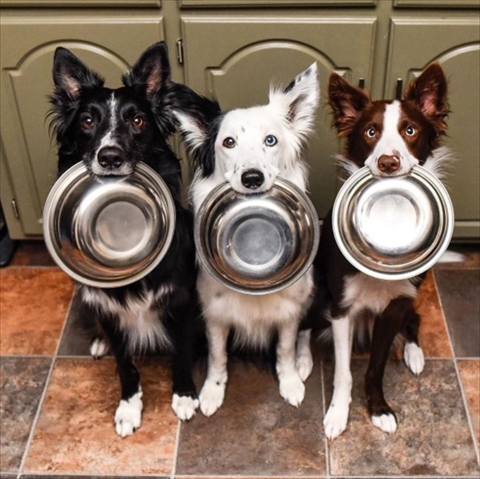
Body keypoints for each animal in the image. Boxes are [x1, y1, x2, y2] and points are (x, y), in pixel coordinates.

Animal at [49, 43, 212, 436]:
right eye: (87, 121)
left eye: (137, 121)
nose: (110, 157)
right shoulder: (110, 311)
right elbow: (124, 362)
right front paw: (128, 406)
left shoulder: (181, 300)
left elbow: (181, 351)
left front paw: (185, 395)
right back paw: (96, 342)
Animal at [174, 62, 320, 416]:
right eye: (228, 142)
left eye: (271, 140)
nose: (252, 178)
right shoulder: (214, 314)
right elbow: (217, 355)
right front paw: (212, 392)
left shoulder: (289, 312)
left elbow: (284, 348)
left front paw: (290, 381)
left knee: (307, 332)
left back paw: (303, 362)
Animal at [314, 62, 456, 438]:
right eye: (370, 132)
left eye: (410, 130)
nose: (388, 162)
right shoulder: (341, 307)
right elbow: (344, 372)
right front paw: (337, 414)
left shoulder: (395, 306)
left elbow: (374, 367)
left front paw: (379, 409)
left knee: (415, 320)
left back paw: (415, 355)